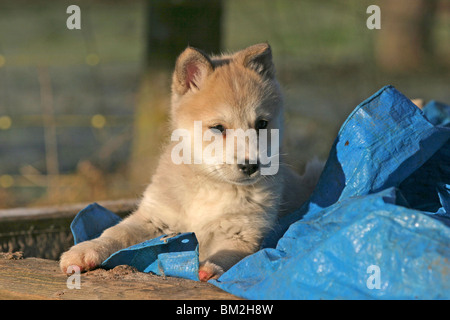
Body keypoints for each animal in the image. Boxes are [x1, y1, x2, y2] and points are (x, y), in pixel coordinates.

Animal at [59, 43, 324, 282]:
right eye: (218, 127)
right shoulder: (154, 218)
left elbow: (229, 254)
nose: (250, 166)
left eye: (261, 124)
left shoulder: (244, 233)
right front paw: (84, 250)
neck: (210, 188)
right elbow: (116, 233)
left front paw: (209, 268)